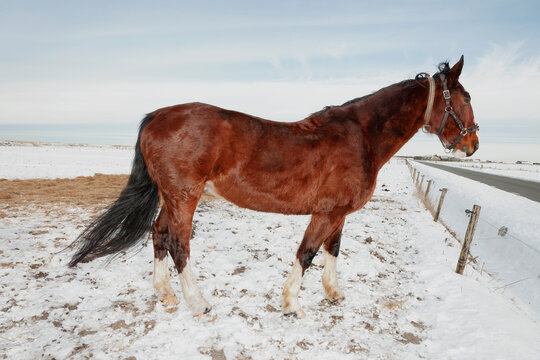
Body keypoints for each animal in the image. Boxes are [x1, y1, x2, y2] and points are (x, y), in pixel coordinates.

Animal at [69, 56, 478, 318]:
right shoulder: (325, 212)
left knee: (158, 233)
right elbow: (307, 253)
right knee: (177, 243)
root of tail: (157, 115)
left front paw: (334, 294)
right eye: (466, 98)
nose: (473, 144)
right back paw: (199, 303)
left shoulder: (339, 213)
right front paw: (293, 303)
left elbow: (333, 250)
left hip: (172, 197)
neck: (360, 136)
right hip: (184, 196)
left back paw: (167, 296)